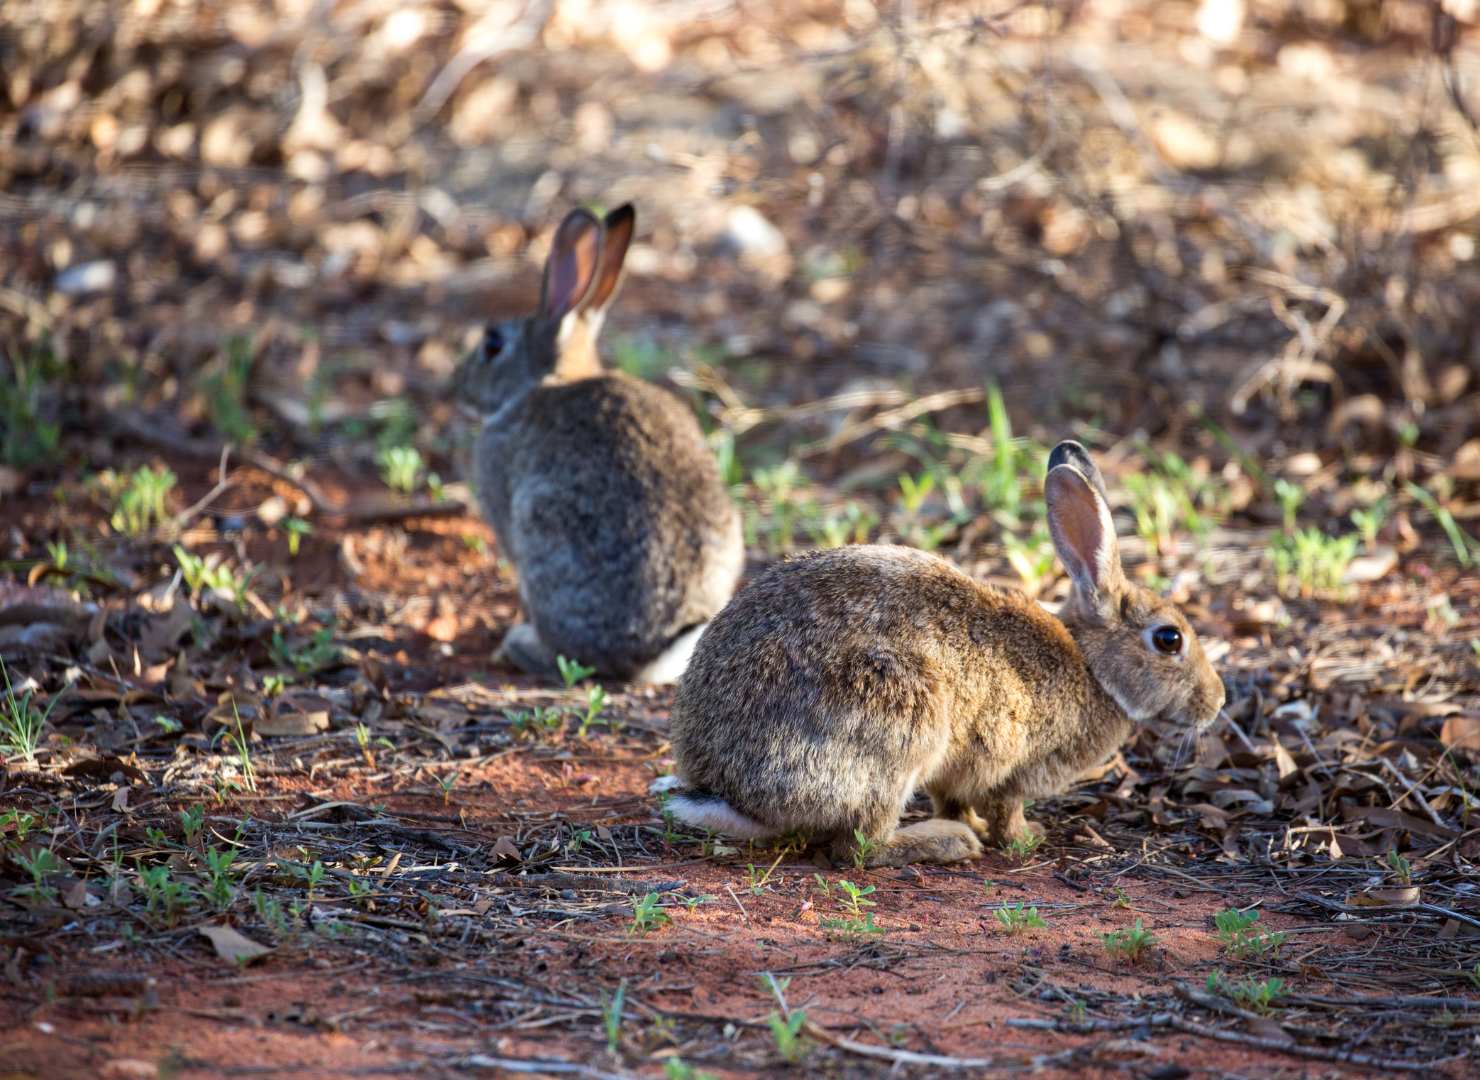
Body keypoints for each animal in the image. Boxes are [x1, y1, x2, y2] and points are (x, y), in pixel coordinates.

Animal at [454, 204, 743, 683]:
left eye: (492, 343)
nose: (455, 386)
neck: (547, 379)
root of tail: (655, 649)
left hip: (544, 526)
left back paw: (518, 645)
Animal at [665, 440, 1225, 867]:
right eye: (1169, 639)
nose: (1216, 701)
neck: (1093, 669)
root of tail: (730, 791)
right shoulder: (1012, 765)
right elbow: (1005, 809)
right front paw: (1024, 838)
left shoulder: (958, 772)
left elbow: (954, 798)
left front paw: (974, 822)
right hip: (898, 720)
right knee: (859, 847)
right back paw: (947, 843)